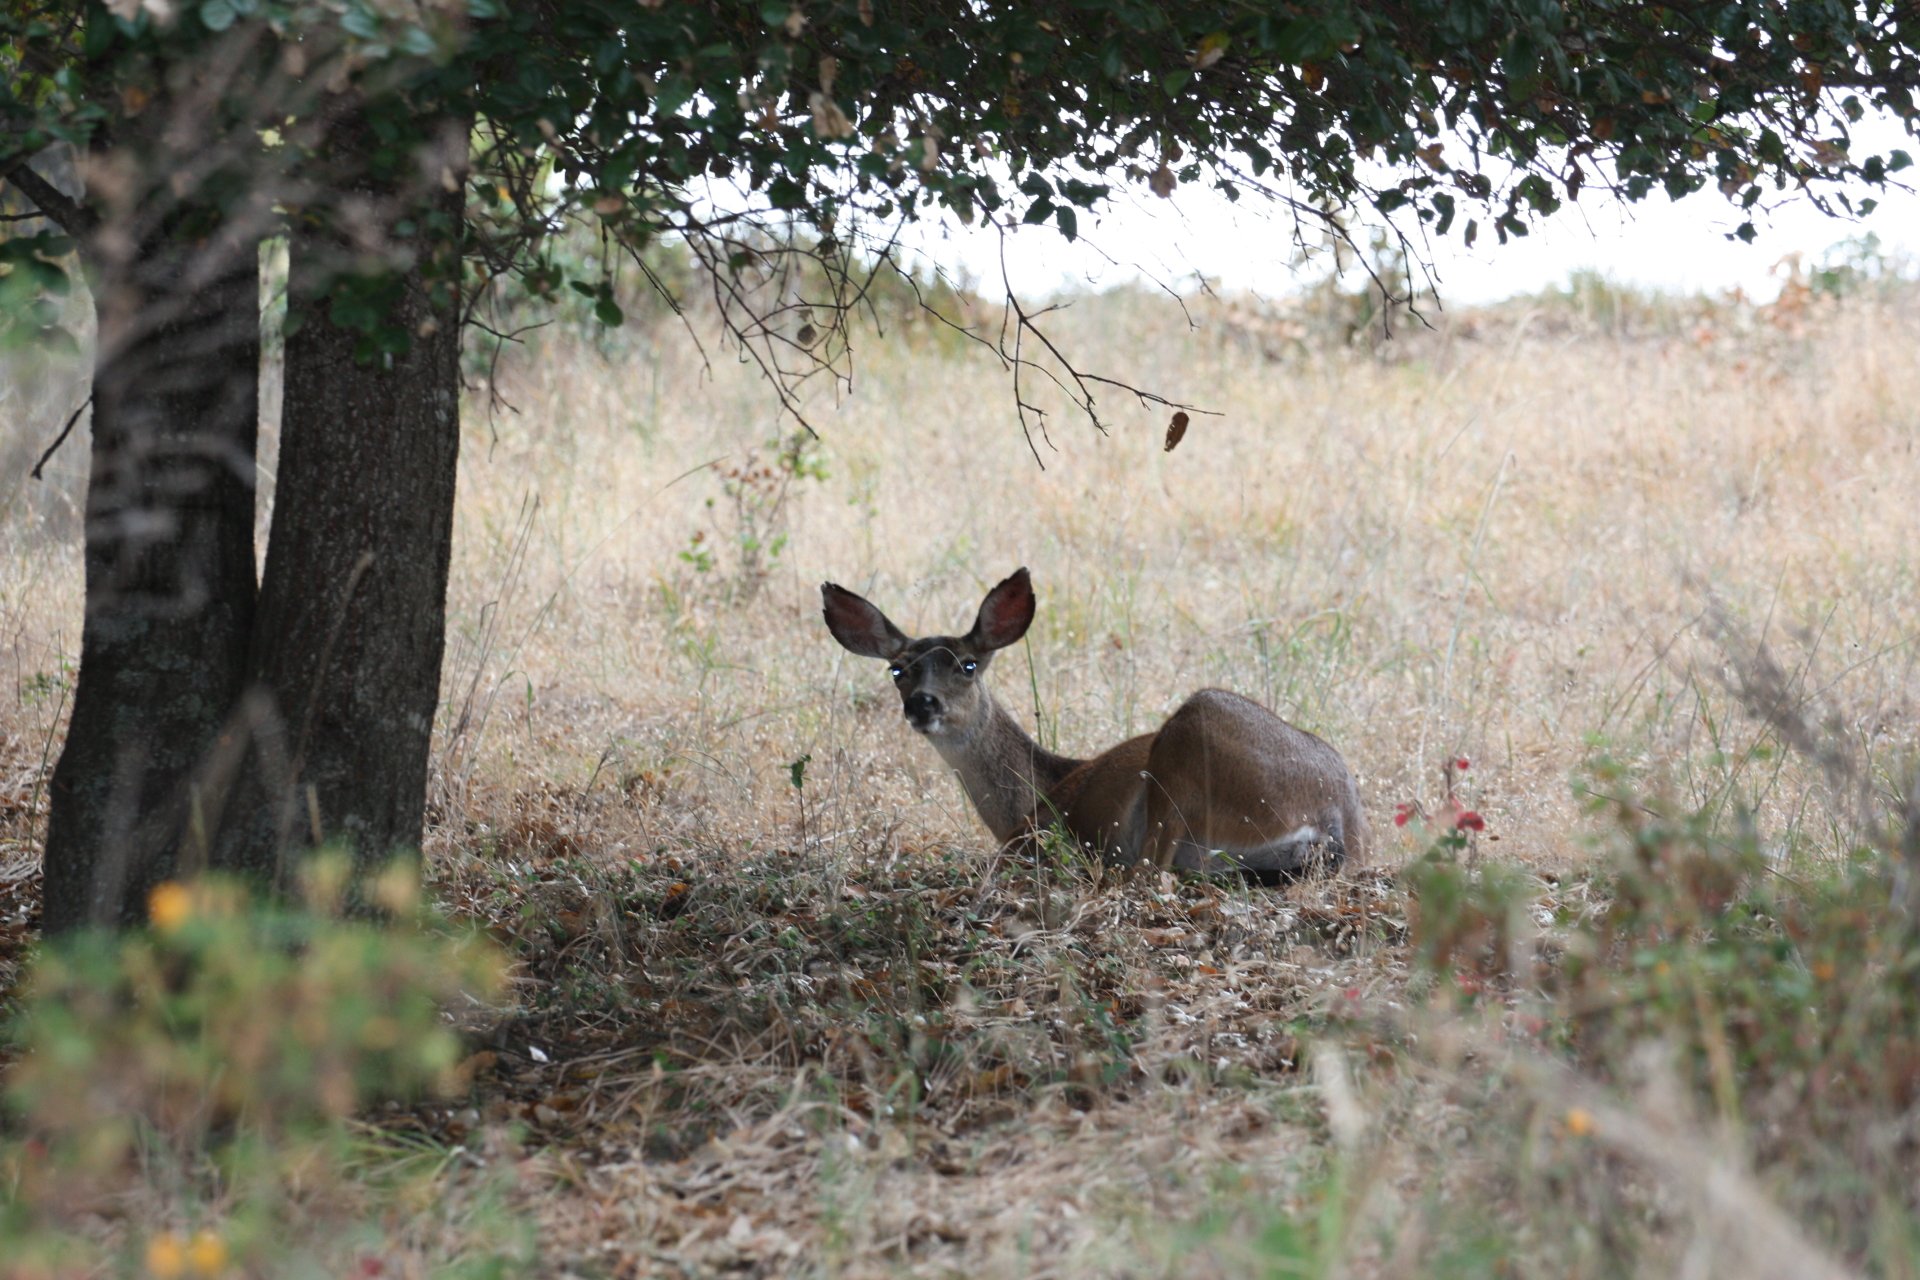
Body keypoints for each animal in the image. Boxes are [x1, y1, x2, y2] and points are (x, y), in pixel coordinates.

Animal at [821, 568, 1367, 880]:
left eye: (968, 665)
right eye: (897, 670)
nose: (922, 704)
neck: (1040, 789)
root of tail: (1339, 819)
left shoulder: (1032, 839)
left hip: (1190, 744)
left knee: (1149, 874)